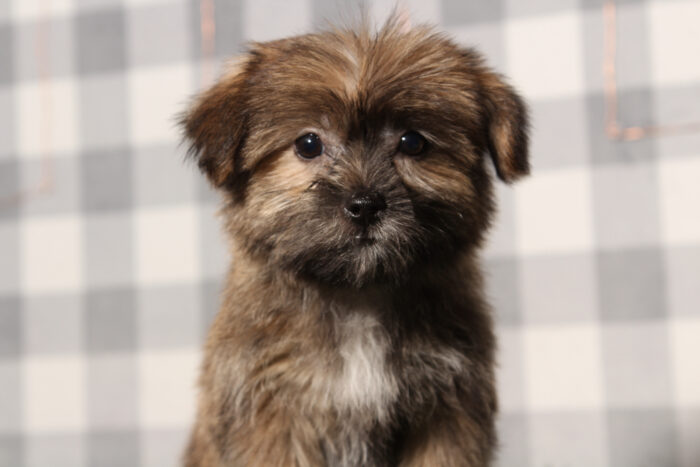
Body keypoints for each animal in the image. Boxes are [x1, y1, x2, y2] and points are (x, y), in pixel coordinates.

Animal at [180, 16, 532, 466]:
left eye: (412, 142)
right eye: (308, 144)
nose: (365, 205)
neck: (359, 296)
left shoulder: (449, 410)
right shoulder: (271, 411)